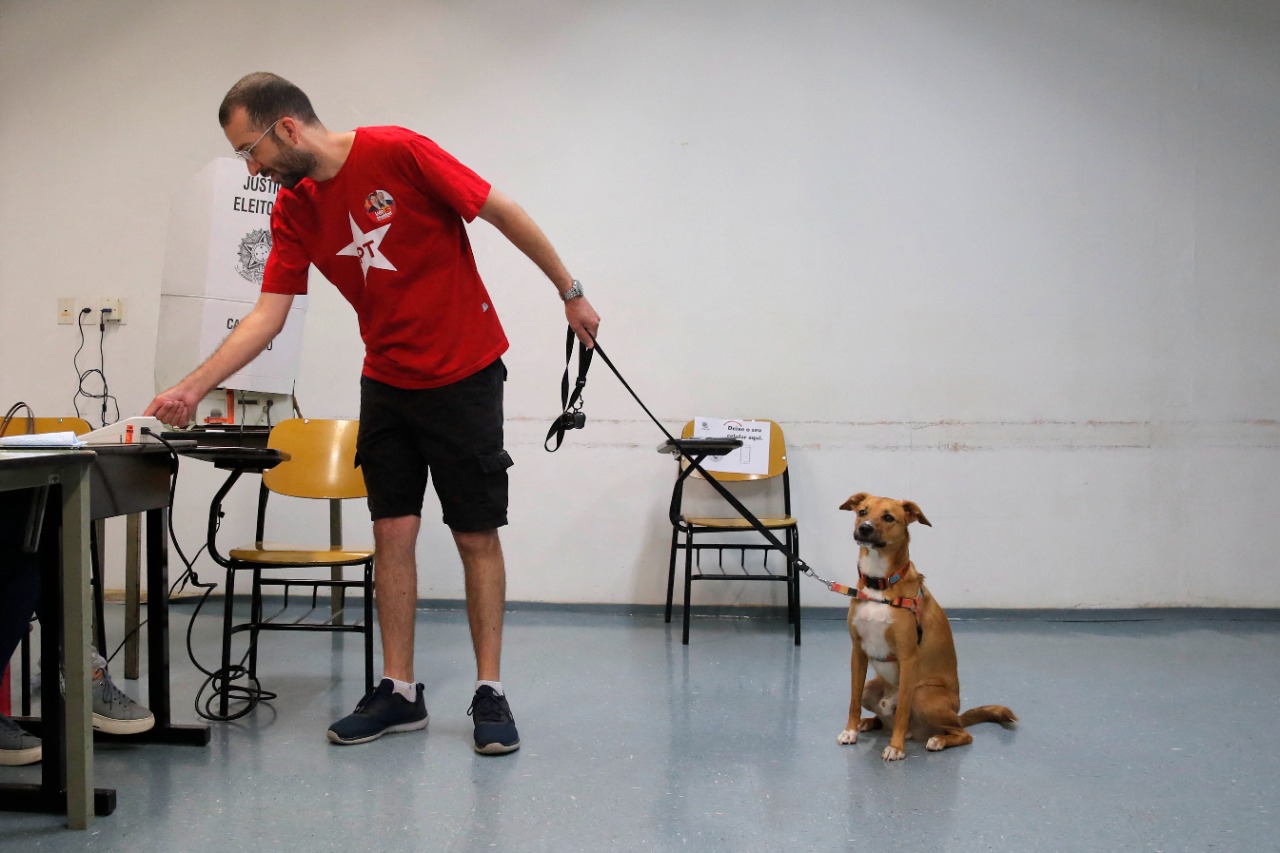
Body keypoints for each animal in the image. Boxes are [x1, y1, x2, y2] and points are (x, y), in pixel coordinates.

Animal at [834, 491, 1013, 758]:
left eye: (888, 517)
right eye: (862, 512)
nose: (864, 528)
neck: (880, 584)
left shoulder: (908, 657)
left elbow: (902, 711)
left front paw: (896, 748)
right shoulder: (858, 651)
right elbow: (853, 699)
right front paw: (851, 730)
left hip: (923, 694)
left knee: (961, 733)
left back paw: (938, 740)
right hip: (871, 688)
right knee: (883, 717)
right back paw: (869, 723)